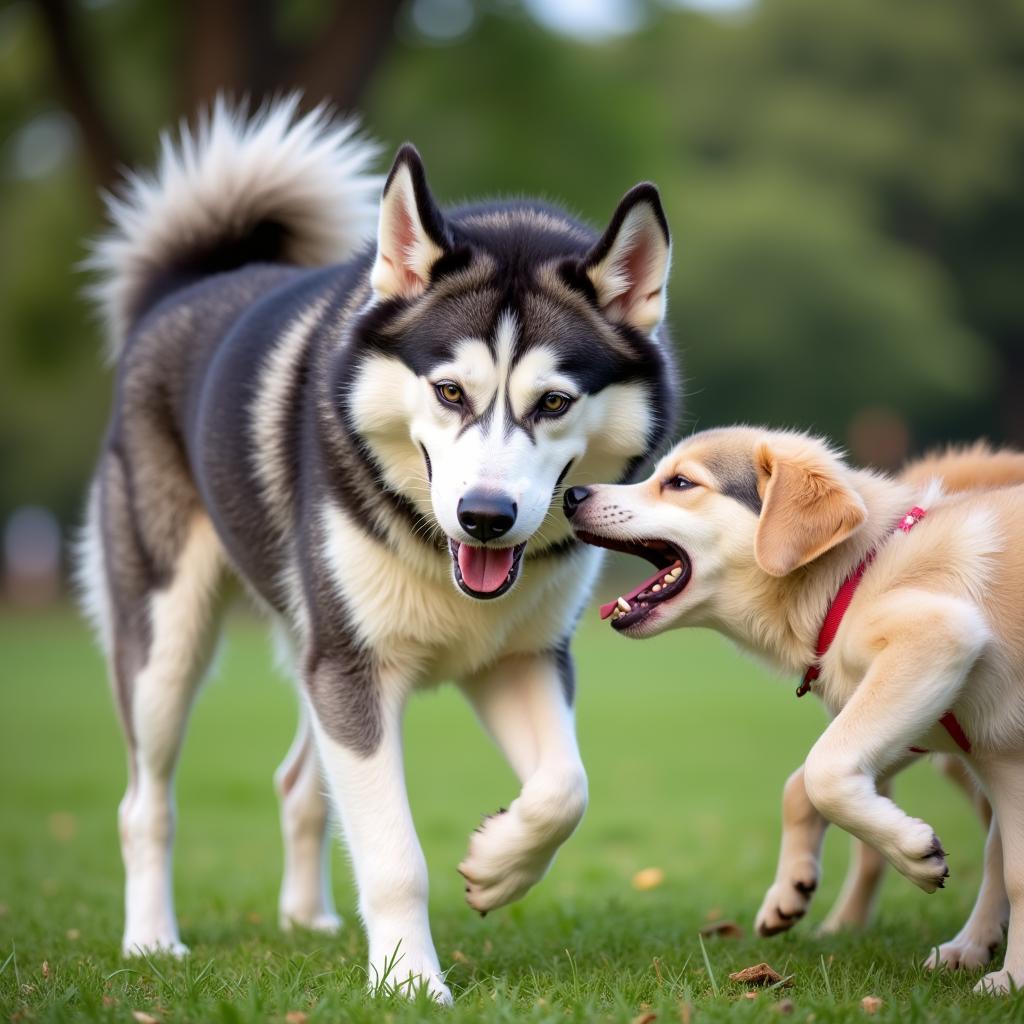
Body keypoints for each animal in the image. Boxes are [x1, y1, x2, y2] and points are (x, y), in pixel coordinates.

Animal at [75, 97, 675, 999]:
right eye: (450, 391)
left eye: (554, 402)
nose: (485, 517)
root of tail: (185, 290)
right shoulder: (352, 670)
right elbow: (394, 857)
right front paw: (409, 984)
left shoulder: (520, 659)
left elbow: (565, 788)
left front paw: (498, 864)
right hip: (167, 643)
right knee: (143, 803)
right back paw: (151, 940)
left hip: (307, 643)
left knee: (298, 783)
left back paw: (306, 920)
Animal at [565, 425, 1024, 991]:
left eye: (680, 482)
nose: (571, 494)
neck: (856, 575)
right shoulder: (950, 730)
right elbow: (802, 783)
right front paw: (791, 890)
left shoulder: (937, 637)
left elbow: (824, 770)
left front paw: (918, 857)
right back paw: (967, 946)